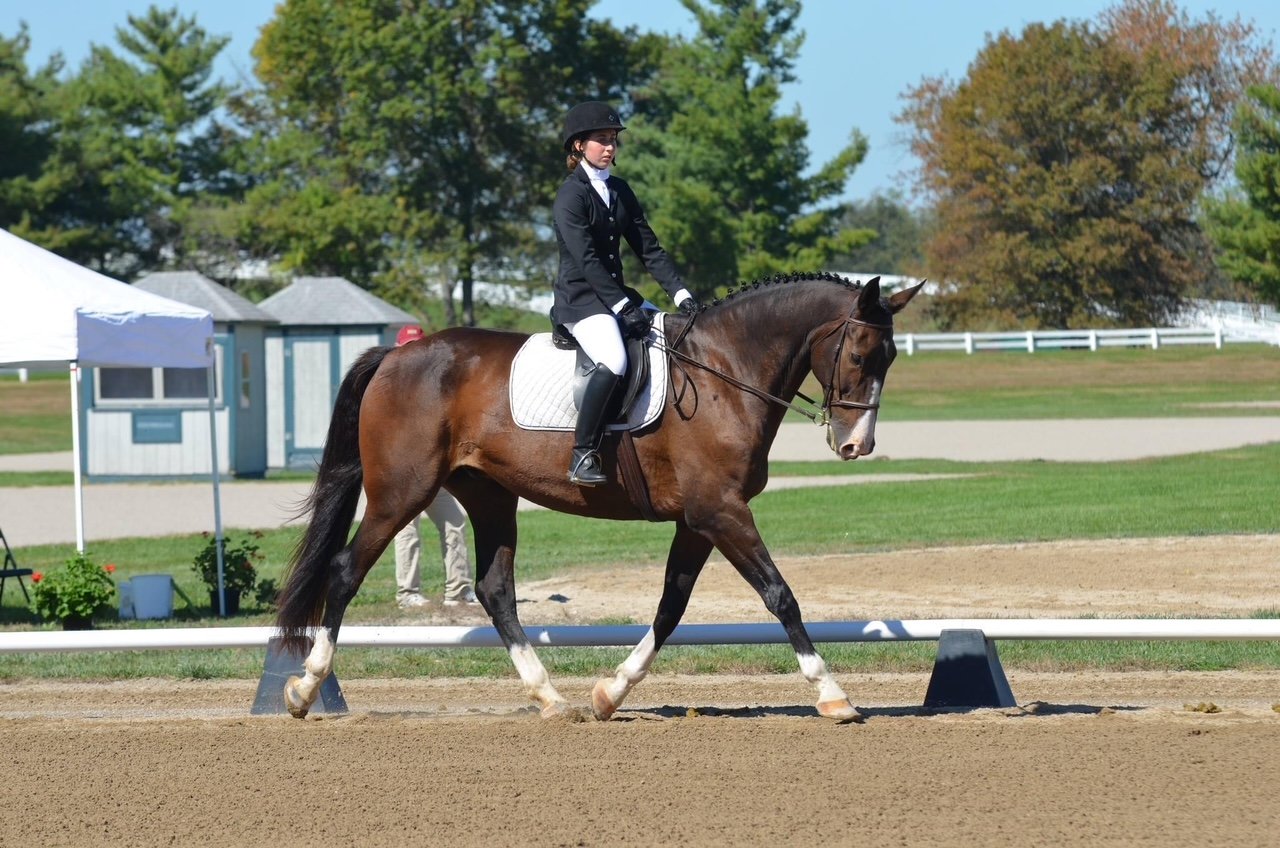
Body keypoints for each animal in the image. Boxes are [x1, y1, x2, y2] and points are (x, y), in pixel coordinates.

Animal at [276, 272, 923, 721]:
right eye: (860, 354)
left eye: (891, 358)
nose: (857, 445)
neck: (723, 370)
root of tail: (396, 353)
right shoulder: (720, 511)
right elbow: (780, 595)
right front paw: (834, 695)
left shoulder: (698, 520)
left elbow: (670, 608)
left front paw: (610, 692)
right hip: (401, 492)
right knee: (345, 571)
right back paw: (305, 689)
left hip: (488, 496)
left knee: (495, 590)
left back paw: (550, 698)